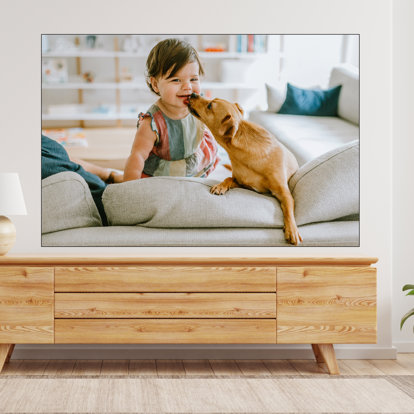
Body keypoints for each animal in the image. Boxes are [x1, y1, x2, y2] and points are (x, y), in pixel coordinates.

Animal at [189, 94, 302, 244]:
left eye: (210, 105)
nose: (193, 94)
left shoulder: (284, 192)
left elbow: (288, 209)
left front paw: (292, 230)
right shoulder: (242, 183)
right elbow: (228, 178)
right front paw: (220, 186)